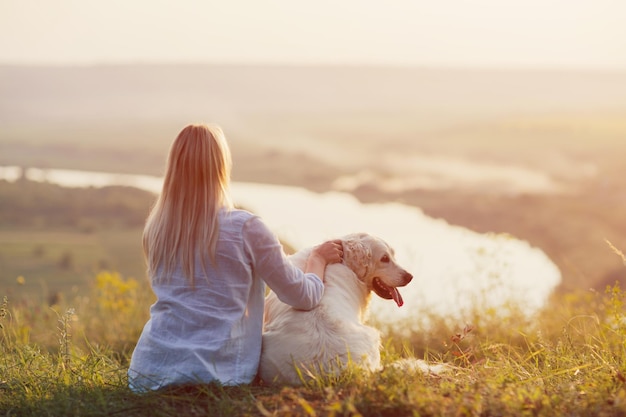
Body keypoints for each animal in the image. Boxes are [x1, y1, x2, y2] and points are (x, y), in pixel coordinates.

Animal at [256, 231, 412, 384]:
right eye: (384, 258)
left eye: (393, 255)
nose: (410, 277)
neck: (345, 262)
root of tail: (332, 373)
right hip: (373, 336)